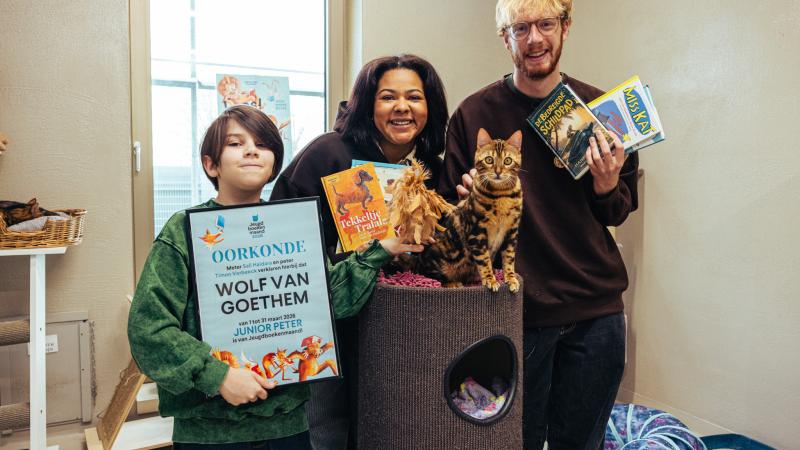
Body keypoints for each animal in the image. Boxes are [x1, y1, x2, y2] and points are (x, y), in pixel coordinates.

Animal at [408, 128, 523, 292]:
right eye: (489, 160)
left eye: (507, 161)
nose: (498, 172)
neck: (502, 194)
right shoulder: (477, 232)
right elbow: (484, 260)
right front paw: (490, 279)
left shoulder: (511, 231)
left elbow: (509, 258)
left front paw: (511, 278)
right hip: (438, 257)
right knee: (430, 276)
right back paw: (453, 283)